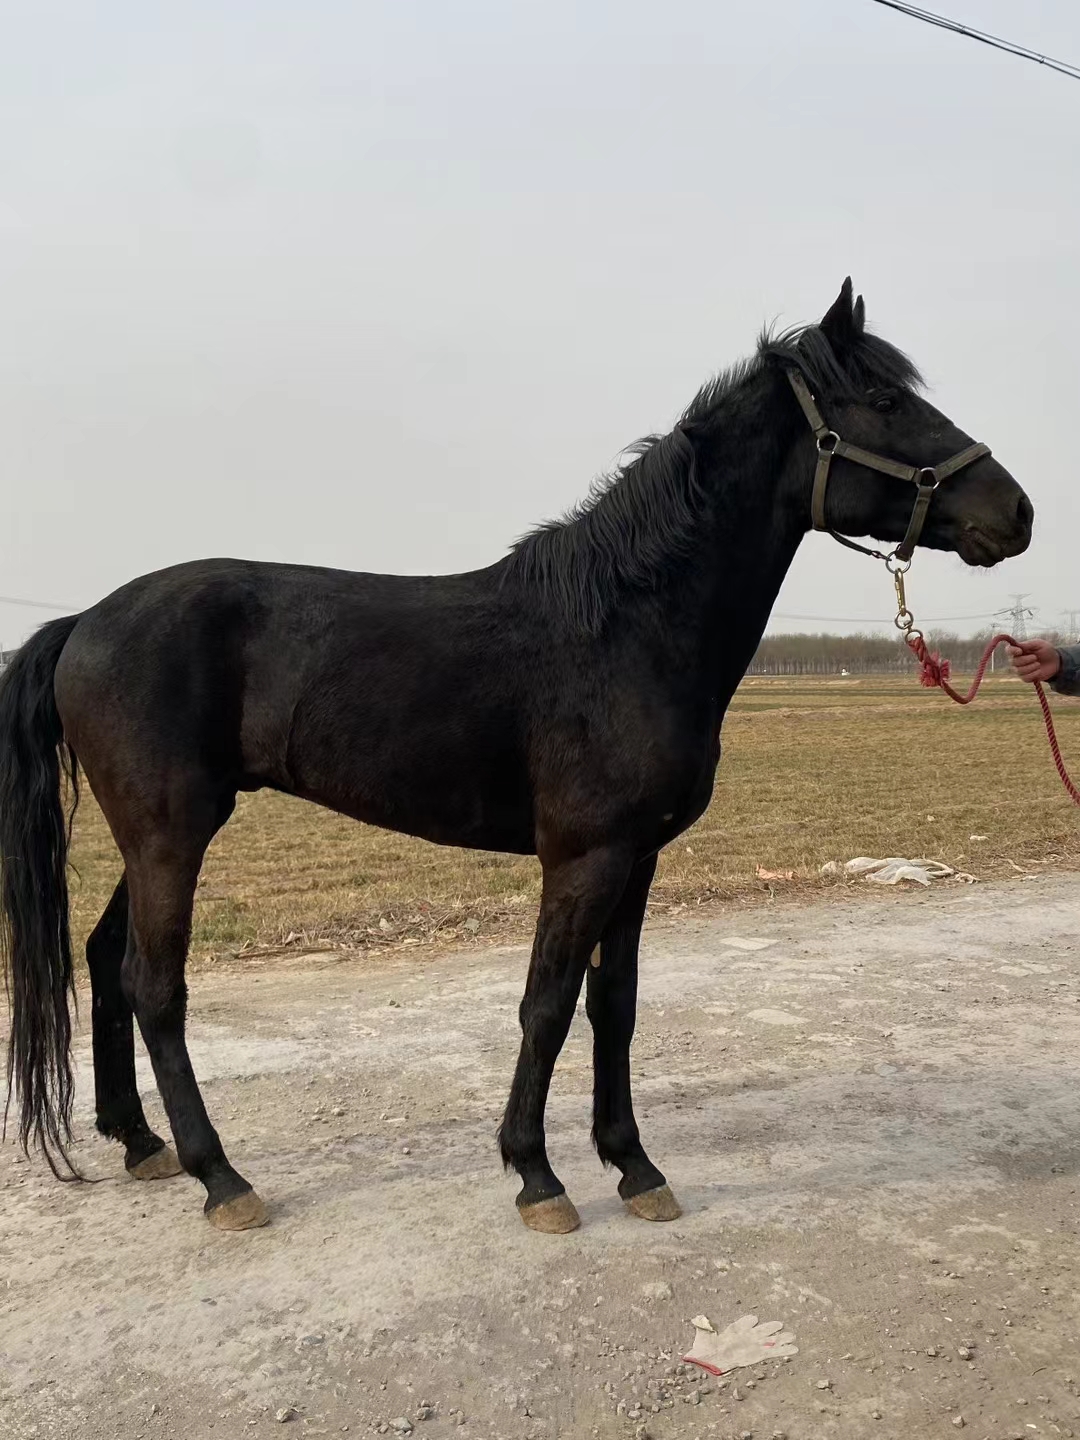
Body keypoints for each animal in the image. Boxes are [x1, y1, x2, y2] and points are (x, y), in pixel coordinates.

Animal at [0, 283, 1031, 1238]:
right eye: (883, 400)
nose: (1015, 513)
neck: (626, 624)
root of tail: (84, 621)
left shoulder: (639, 860)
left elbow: (615, 1004)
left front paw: (634, 1167)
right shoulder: (583, 859)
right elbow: (548, 1004)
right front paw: (538, 1176)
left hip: (158, 836)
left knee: (106, 960)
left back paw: (141, 1143)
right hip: (171, 835)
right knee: (156, 987)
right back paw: (222, 1179)